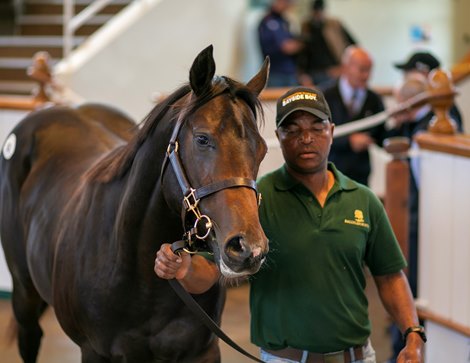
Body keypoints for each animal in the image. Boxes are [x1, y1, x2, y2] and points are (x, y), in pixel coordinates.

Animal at [0, 46, 270, 363]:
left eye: (262, 148)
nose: (248, 249)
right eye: (203, 139)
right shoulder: (94, 352)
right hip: (24, 295)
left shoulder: (203, 352)